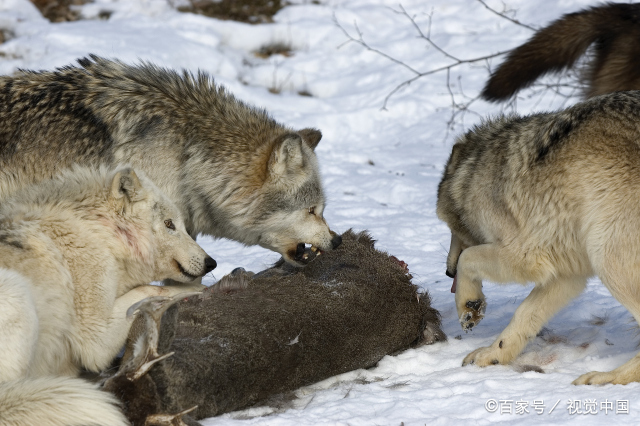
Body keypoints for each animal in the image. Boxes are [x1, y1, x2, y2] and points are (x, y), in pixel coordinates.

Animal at [440, 90, 640, 386]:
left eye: (451, 228)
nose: (447, 272)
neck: (474, 173)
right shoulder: (565, 274)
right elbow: (524, 315)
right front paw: (492, 354)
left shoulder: (523, 255)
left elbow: (468, 257)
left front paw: (470, 306)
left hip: (608, 258)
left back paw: (605, 377)